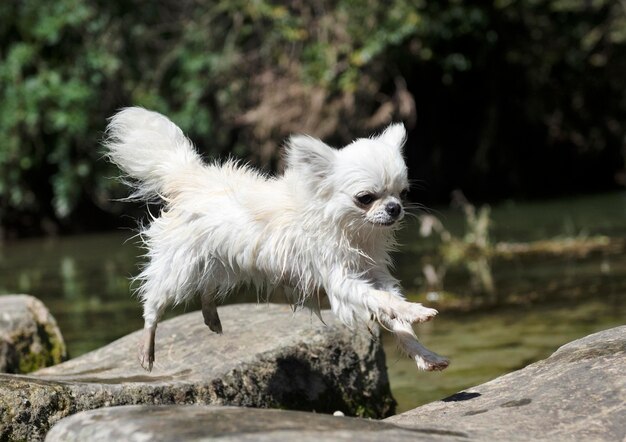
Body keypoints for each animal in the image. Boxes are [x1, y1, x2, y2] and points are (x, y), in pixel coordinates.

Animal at [106, 108, 448, 372]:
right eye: (365, 198)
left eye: (402, 193)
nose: (394, 208)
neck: (352, 230)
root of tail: (190, 177)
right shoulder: (342, 280)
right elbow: (382, 301)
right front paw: (417, 312)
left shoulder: (374, 272)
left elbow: (395, 313)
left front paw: (423, 353)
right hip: (180, 267)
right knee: (154, 302)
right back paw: (147, 344)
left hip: (218, 260)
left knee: (206, 286)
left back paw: (210, 315)